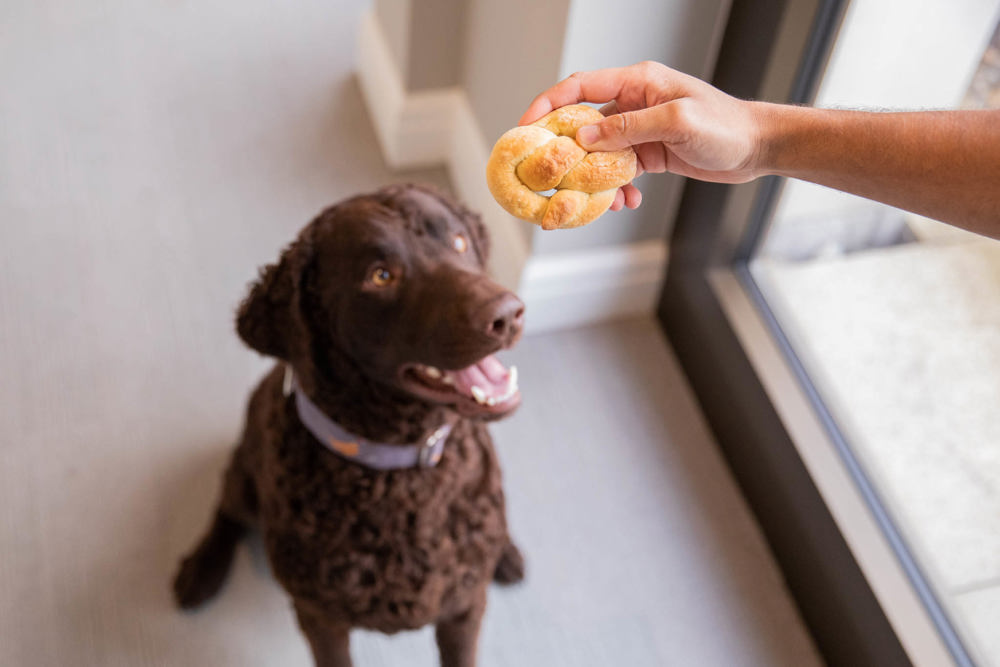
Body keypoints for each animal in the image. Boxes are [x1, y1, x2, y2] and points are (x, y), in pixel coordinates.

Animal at [175, 184, 528, 667]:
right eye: (380, 276)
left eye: (458, 241)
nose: (507, 313)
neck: (400, 470)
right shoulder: (320, 617)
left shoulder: (464, 607)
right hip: (244, 476)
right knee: (225, 509)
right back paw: (201, 570)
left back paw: (506, 554)